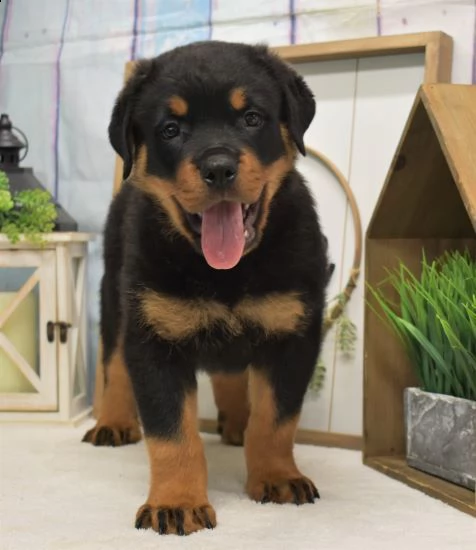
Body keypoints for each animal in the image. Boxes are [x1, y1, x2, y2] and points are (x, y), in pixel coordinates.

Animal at [83, 40, 330, 540]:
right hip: (116, 299)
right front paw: (176, 503)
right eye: (170, 129)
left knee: (229, 373)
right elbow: (171, 434)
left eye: (251, 118)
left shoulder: (293, 334)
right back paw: (113, 422)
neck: (226, 271)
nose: (219, 168)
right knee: (113, 365)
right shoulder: (153, 340)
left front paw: (277, 476)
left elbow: (276, 421)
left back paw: (236, 423)